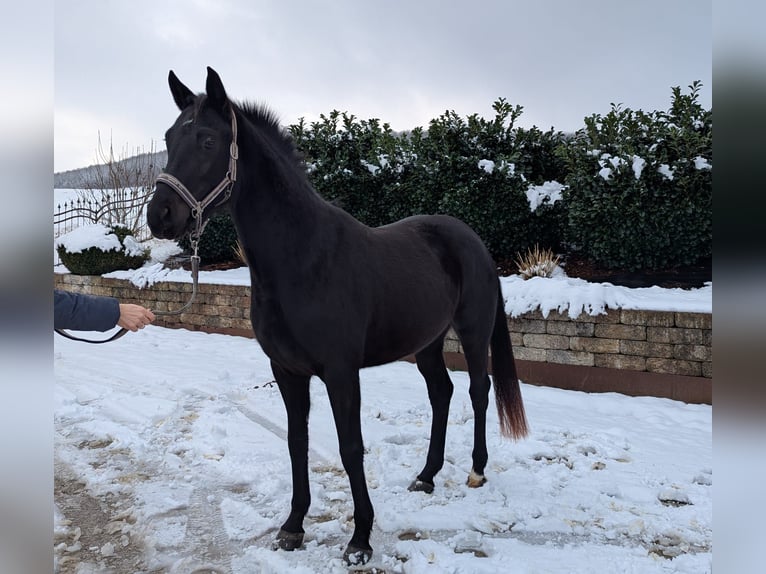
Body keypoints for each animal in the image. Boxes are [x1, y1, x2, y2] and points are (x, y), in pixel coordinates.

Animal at [146, 67, 528, 568]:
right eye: (170, 137)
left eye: (208, 140)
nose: (159, 216)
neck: (303, 259)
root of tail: (471, 239)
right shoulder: (287, 371)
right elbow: (297, 443)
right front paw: (292, 527)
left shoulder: (341, 373)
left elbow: (351, 447)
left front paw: (360, 539)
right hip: (426, 342)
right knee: (441, 394)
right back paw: (426, 476)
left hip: (472, 331)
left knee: (478, 391)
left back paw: (477, 471)